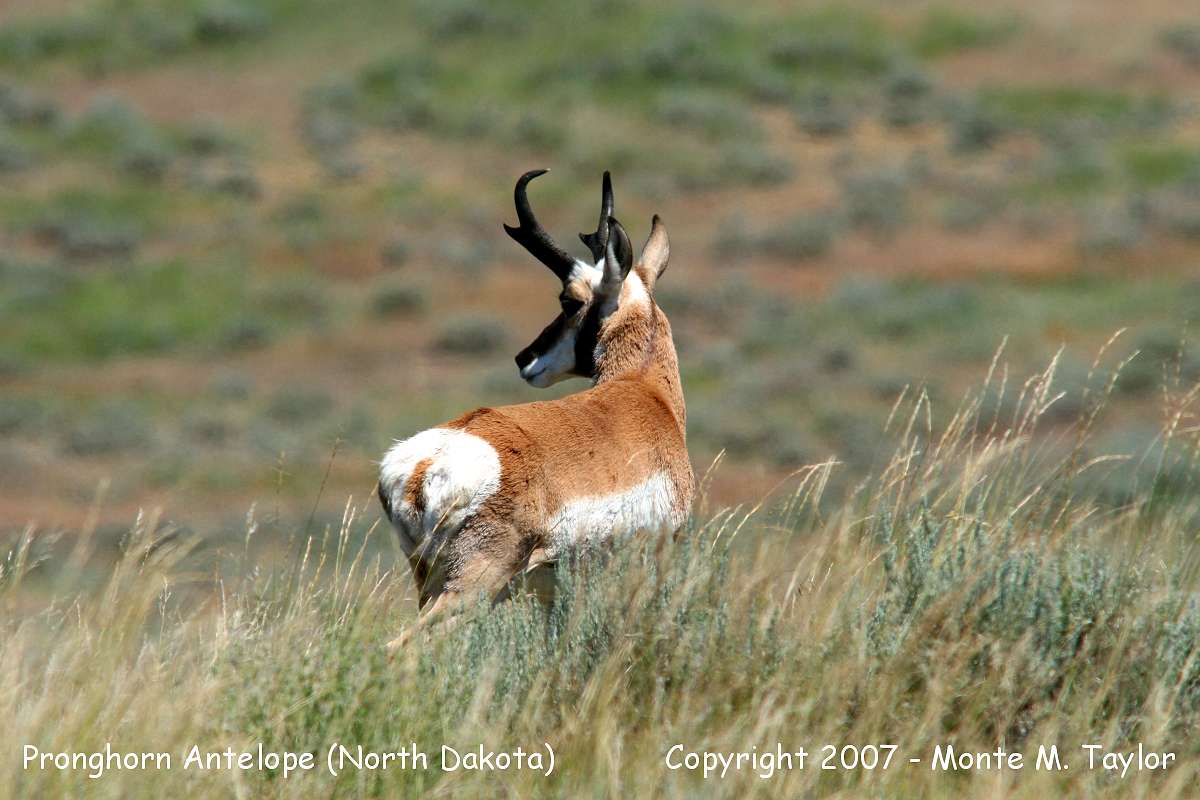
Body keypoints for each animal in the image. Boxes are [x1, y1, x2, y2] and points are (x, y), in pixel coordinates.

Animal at [378, 170, 694, 647]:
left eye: (568, 302)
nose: (523, 358)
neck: (642, 390)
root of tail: (421, 466)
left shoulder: (550, 593)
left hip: (431, 582)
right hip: (472, 588)